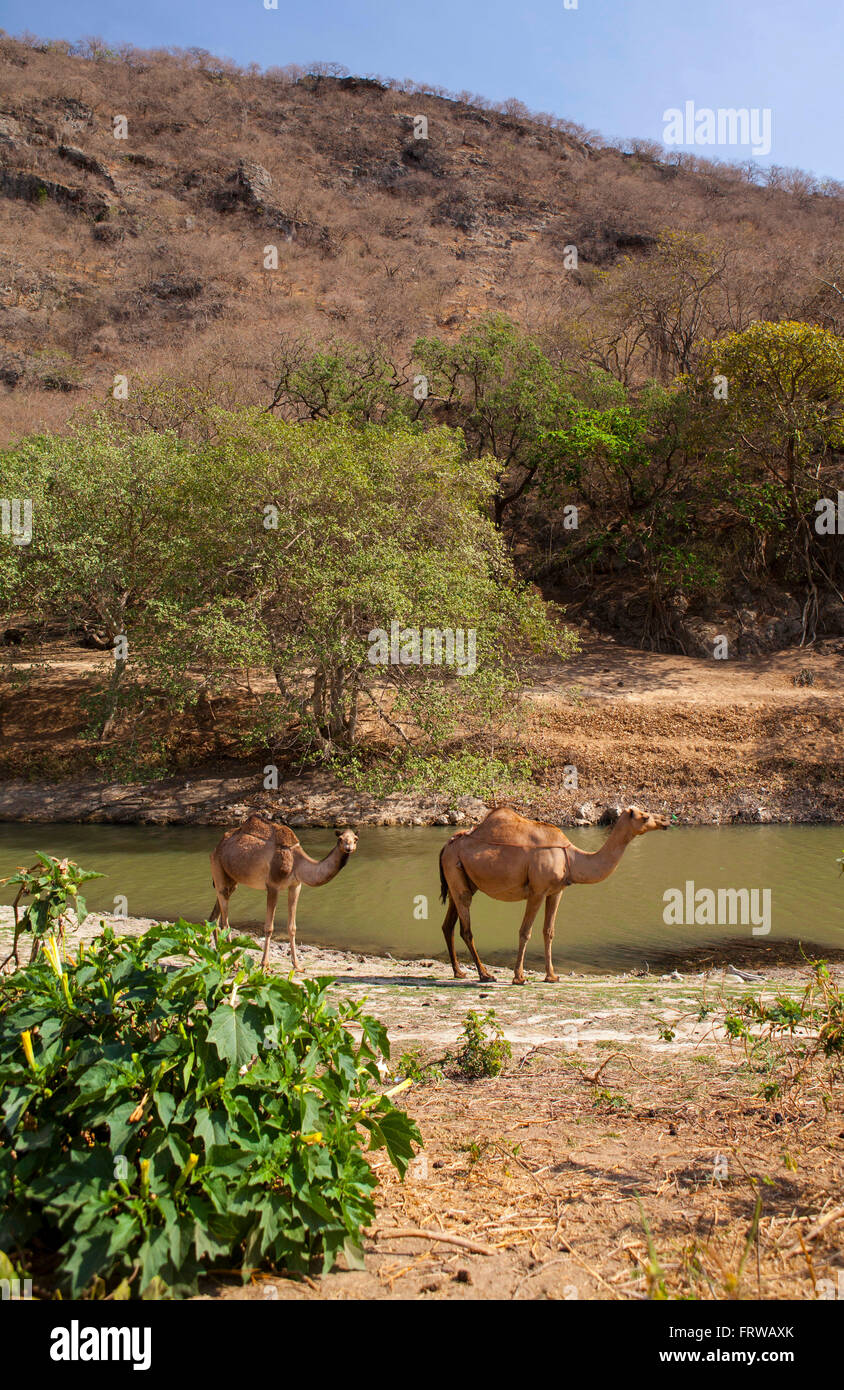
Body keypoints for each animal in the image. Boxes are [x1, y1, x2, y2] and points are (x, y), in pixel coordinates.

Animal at [211, 811, 358, 967]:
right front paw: (264, 964)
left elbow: (292, 927)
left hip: (231, 880)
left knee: (215, 916)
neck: (297, 862)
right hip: (218, 868)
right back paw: (234, 962)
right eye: (341, 839)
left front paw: (297, 965)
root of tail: (217, 848)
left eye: (355, 839)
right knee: (225, 922)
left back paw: (219, 957)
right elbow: (269, 927)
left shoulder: (295, 885)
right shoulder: (272, 886)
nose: (349, 848)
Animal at [439, 800, 670, 984]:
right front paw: (519, 977)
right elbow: (525, 931)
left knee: (448, 924)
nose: (666, 820)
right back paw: (485, 975)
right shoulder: (537, 891)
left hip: (459, 882)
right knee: (466, 928)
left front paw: (551, 976)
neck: (572, 859)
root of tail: (447, 845)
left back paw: (459, 972)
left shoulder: (556, 891)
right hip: (457, 873)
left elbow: (548, 931)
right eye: (644, 816)